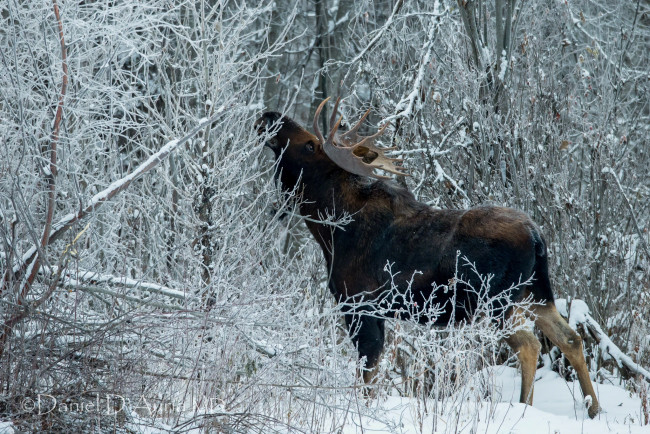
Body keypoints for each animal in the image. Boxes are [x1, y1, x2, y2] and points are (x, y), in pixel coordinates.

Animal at [253, 97, 596, 418]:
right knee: (571, 338)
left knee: (530, 344)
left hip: (496, 301)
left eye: (310, 144)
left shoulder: (359, 304)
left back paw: (525, 406)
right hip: (536, 293)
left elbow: (367, 374)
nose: (269, 115)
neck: (331, 230)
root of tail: (537, 237)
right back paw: (594, 409)